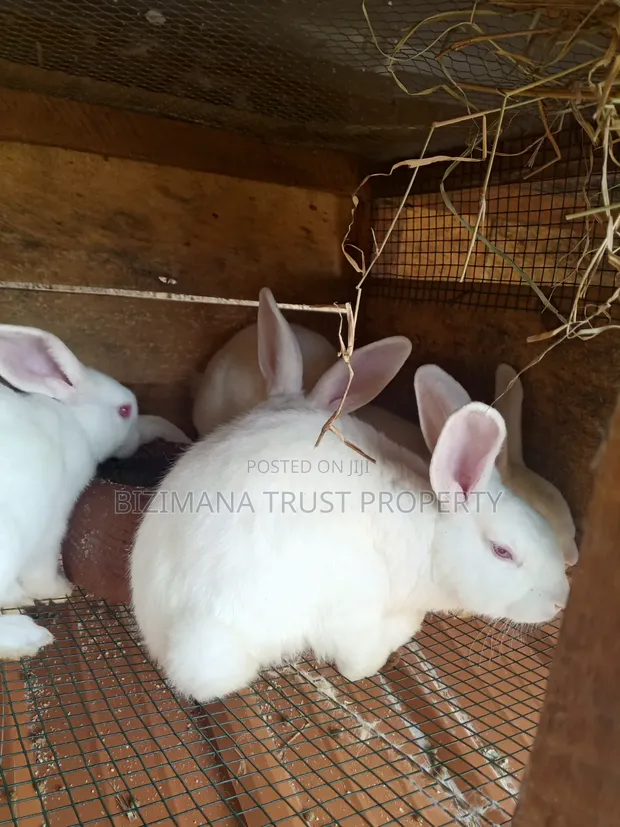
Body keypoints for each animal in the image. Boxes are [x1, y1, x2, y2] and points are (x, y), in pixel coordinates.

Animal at [0, 324, 188, 660]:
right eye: (124, 410)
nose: (136, 438)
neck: (77, 424)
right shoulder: (51, 522)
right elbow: (40, 568)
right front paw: (58, 591)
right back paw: (28, 637)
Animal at [130, 288, 569, 703]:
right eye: (502, 552)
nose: (561, 602)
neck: (429, 537)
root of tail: (159, 631)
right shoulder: (353, 611)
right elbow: (359, 665)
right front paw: (406, 627)